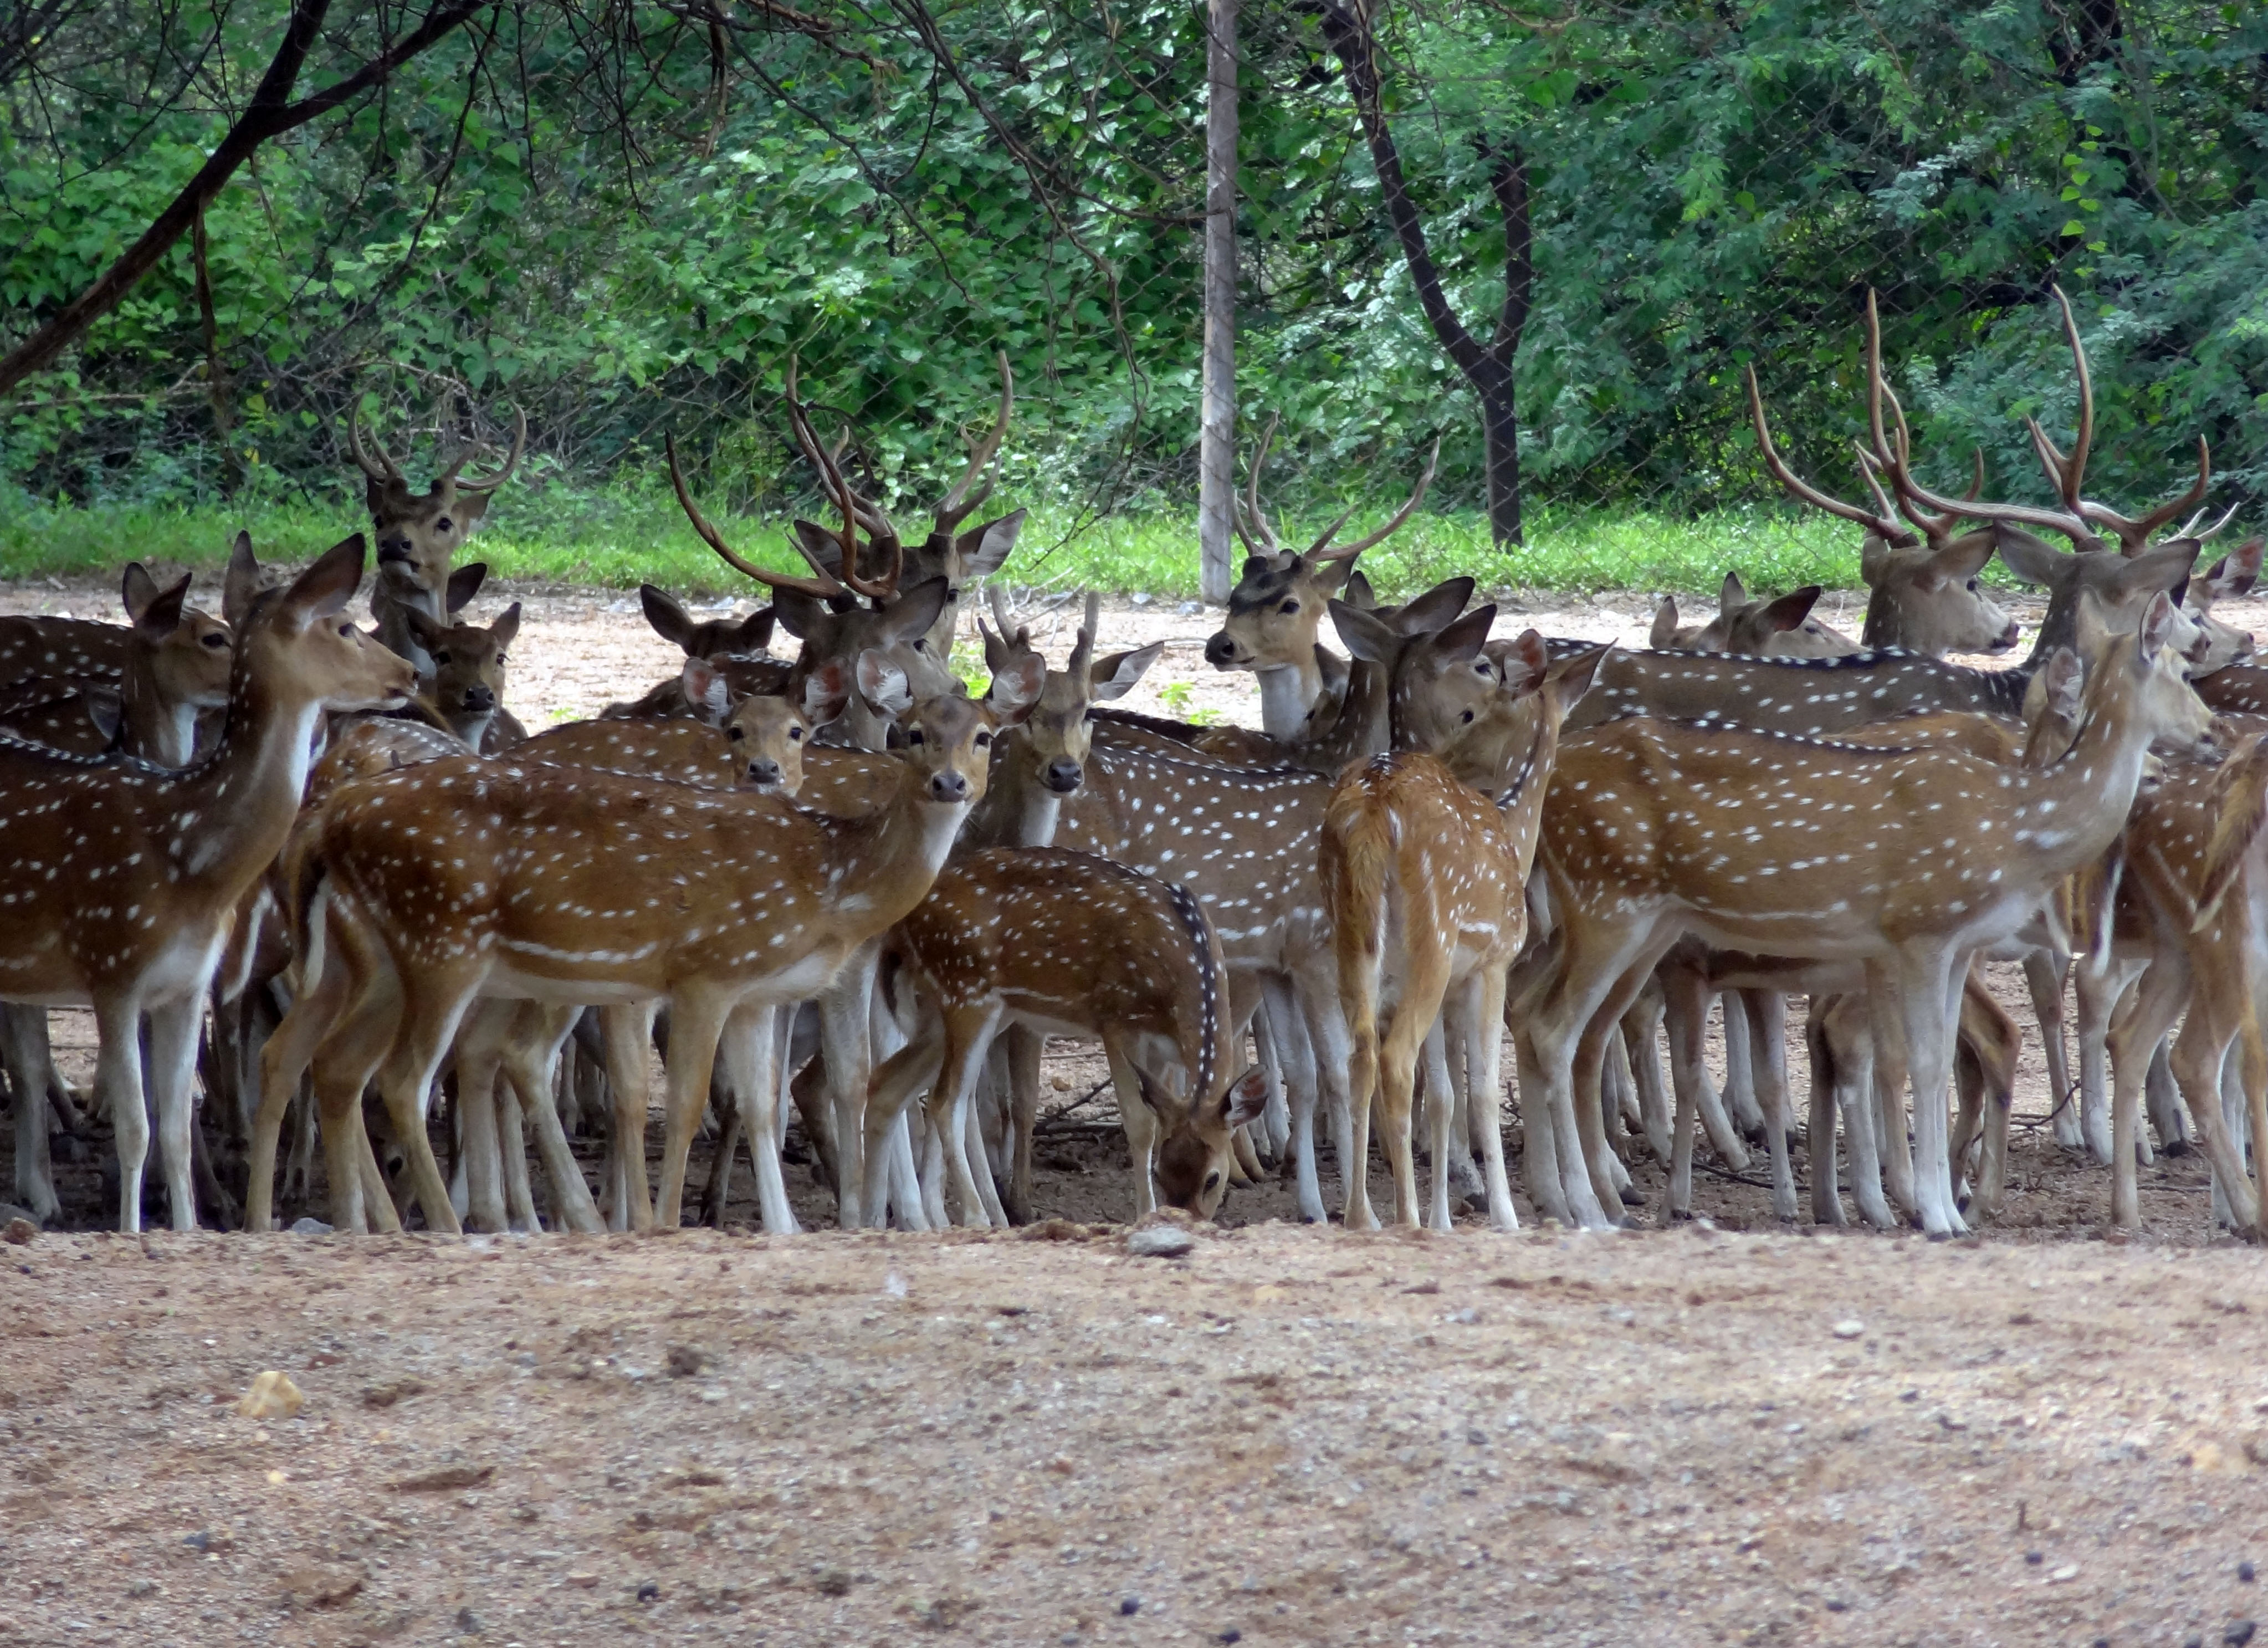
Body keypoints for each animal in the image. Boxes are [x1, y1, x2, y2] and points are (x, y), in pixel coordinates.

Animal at [0, 535, 415, 1233]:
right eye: (344, 625)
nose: (410, 674)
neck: (189, 861)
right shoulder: (111, 965)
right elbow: (137, 1127)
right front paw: (132, 1227)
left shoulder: (187, 984)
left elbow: (172, 1123)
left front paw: (191, 1226)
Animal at [1324, 639, 1605, 1233]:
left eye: (1469, 714)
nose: (1446, 756)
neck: (1514, 836)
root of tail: (1375, 803)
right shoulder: (1493, 961)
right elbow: (1481, 1092)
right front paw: (1503, 1216)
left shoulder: (1450, 984)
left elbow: (1444, 1096)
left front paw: (1445, 1220)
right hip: (1432, 932)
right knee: (1394, 1060)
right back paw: (1403, 1217)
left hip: (1352, 935)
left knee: (1360, 1054)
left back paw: (1363, 1216)